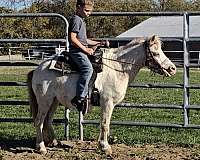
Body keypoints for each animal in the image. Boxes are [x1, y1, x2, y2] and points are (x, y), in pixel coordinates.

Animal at [27, 35, 177, 154]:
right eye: (156, 53)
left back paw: (53, 142)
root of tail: (37, 69)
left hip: (54, 101)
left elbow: (106, 124)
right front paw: (105, 147)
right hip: (44, 100)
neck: (118, 69)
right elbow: (104, 124)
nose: (172, 68)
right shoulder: (107, 102)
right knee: (39, 121)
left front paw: (103, 144)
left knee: (47, 120)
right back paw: (41, 147)